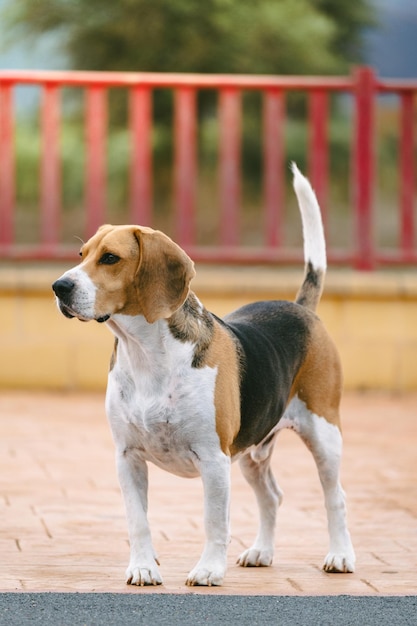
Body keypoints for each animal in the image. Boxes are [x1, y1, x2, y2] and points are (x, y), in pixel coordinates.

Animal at [52, 165, 354, 584]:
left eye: (110, 258)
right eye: (81, 255)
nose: (59, 286)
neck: (146, 354)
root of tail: (300, 308)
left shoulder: (213, 459)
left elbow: (214, 522)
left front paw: (209, 569)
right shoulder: (127, 457)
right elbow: (137, 521)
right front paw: (143, 567)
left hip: (324, 434)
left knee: (335, 497)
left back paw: (340, 556)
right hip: (252, 452)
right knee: (272, 496)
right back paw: (262, 551)